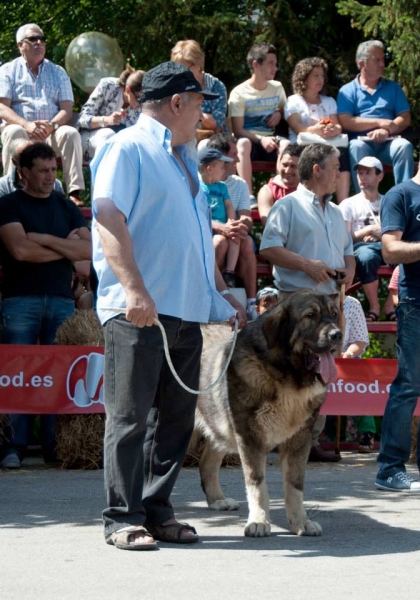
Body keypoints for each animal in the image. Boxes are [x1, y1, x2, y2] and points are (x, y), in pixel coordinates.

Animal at [197, 288, 342, 536]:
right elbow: (257, 484)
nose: (337, 335)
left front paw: (300, 521)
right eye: (310, 315)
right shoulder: (249, 438)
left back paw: (217, 500)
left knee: (207, 463)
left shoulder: (300, 439)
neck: (288, 377)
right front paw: (259, 521)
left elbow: (295, 485)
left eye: (334, 314)